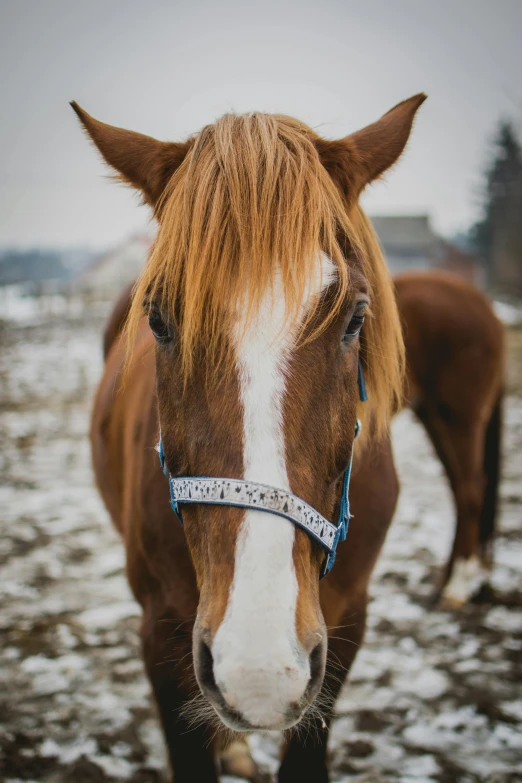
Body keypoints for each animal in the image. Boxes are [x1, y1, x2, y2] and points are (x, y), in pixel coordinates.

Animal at [394, 272, 504, 608]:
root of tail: (481, 302)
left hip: (460, 419)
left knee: (471, 492)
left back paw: (458, 587)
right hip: (434, 418)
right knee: (459, 490)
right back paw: (446, 580)